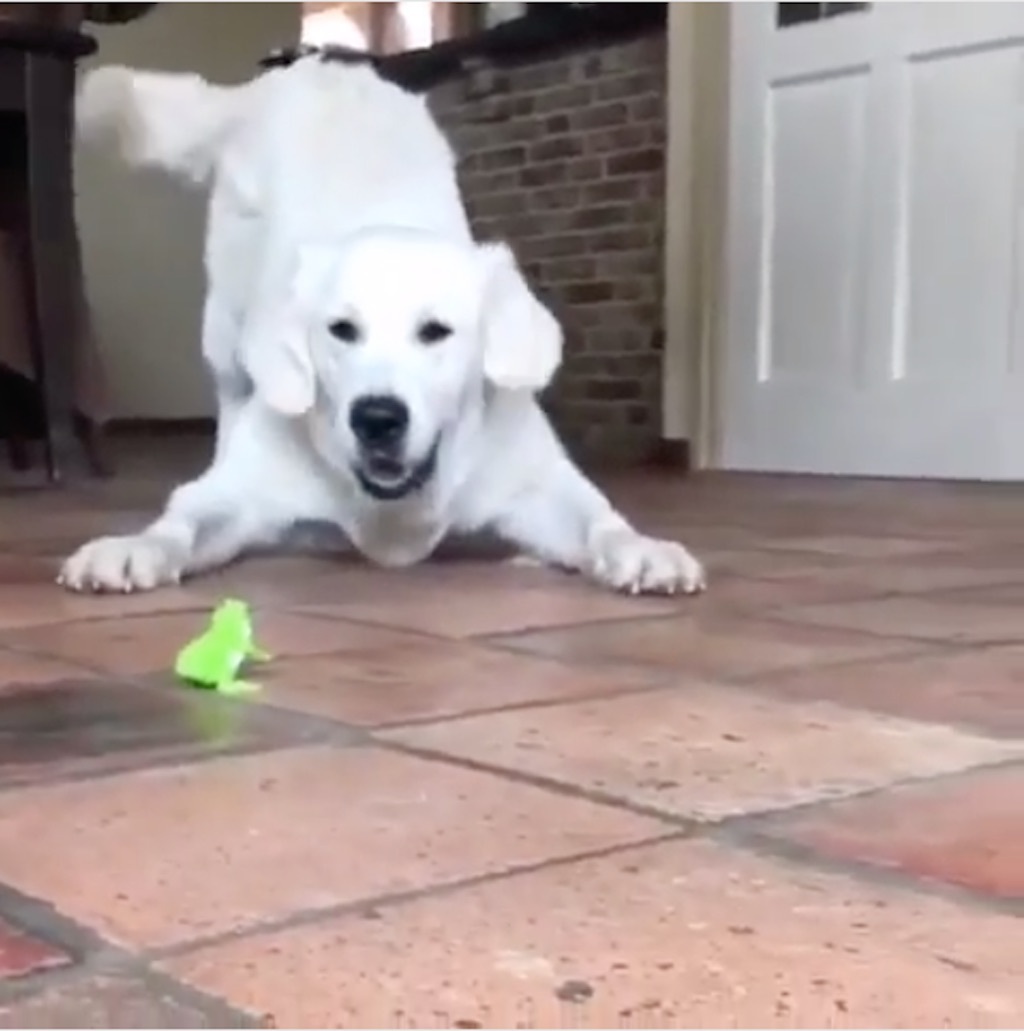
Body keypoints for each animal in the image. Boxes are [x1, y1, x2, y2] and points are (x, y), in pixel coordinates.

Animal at [61, 56, 701, 602]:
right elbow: (182, 520)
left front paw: (642, 549)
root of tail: (305, 69)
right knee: (230, 390)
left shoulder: (539, 485)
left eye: (436, 331)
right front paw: (133, 548)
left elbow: (600, 520)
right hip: (223, 332)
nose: (377, 418)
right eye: (341, 330)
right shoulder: (236, 491)